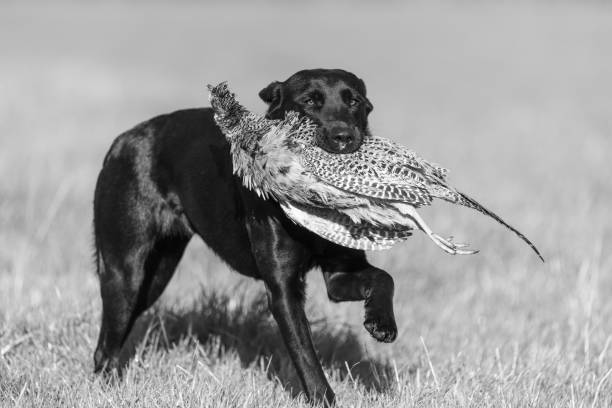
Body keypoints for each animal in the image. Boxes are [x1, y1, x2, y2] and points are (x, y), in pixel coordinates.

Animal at [91, 67, 396, 404]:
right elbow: (305, 354)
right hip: (126, 272)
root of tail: (121, 142)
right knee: (105, 347)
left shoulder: (340, 276)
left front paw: (381, 323)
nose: (343, 137)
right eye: (309, 101)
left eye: (353, 101)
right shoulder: (283, 290)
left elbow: (384, 279)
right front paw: (322, 398)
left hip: (157, 273)